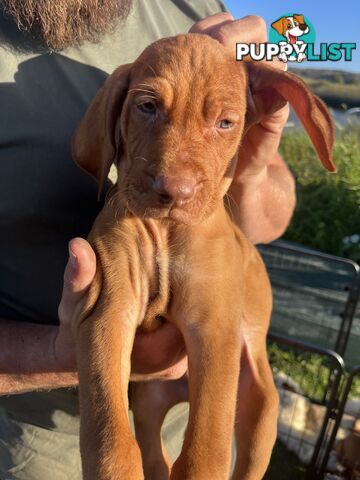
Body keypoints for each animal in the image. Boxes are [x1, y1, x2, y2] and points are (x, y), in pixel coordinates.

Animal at [71, 33, 336, 480]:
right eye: (147, 106)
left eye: (226, 123)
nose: (173, 193)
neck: (166, 233)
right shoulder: (110, 312)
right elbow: (109, 434)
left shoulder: (213, 329)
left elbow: (205, 452)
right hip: (149, 402)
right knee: (154, 456)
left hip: (261, 414)